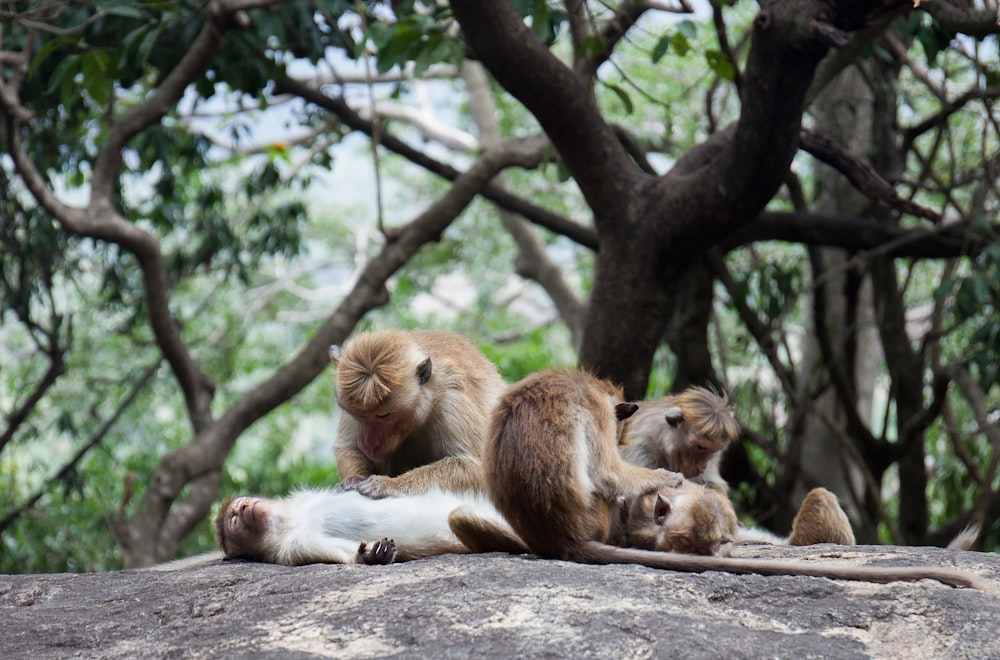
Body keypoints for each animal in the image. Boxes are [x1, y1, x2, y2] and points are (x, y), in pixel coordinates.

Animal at [332, 330, 508, 500]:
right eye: (357, 415)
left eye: (383, 415)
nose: (367, 444)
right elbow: (348, 448)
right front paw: (353, 479)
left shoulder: (453, 398)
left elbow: (477, 467)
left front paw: (391, 484)